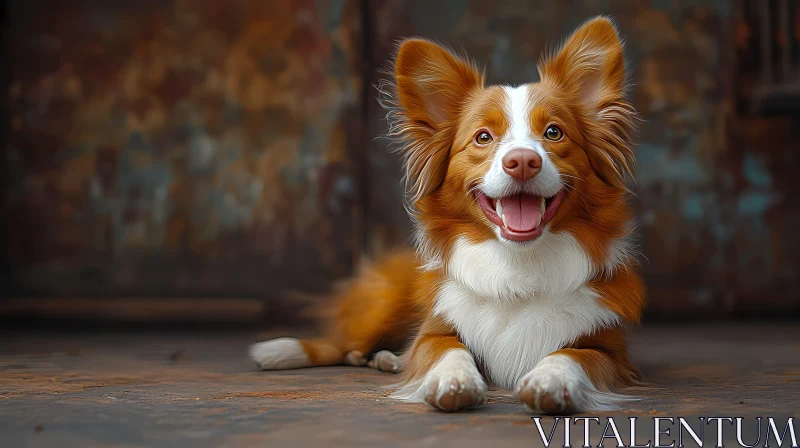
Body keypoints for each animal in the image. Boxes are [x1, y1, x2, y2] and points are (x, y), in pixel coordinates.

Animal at [250, 16, 644, 416]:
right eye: (483, 137)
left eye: (553, 132)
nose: (521, 161)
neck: (518, 265)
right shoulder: (435, 331)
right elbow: (447, 348)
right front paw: (452, 380)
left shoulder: (610, 350)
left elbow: (571, 355)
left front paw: (551, 380)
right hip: (382, 302)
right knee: (340, 344)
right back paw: (284, 351)